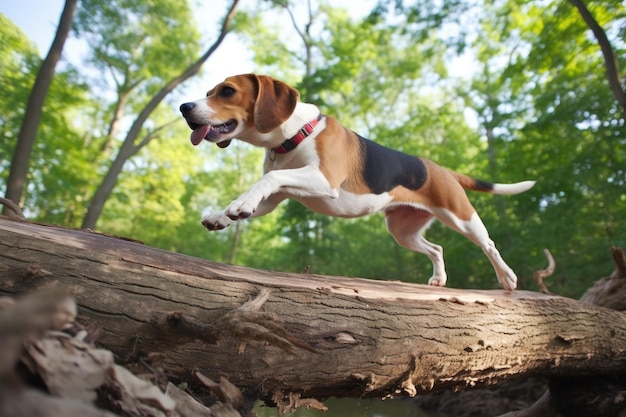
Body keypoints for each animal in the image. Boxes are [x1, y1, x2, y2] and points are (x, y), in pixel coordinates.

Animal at [178, 73, 532, 290]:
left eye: (227, 91)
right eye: (209, 92)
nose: (184, 107)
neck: (294, 134)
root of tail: (442, 169)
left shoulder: (324, 180)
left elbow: (272, 178)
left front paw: (239, 205)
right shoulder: (276, 198)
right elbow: (260, 187)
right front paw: (222, 214)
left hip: (461, 217)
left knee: (489, 244)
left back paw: (507, 278)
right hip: (403, 230)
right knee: (437, 248)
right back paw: (438, 279)